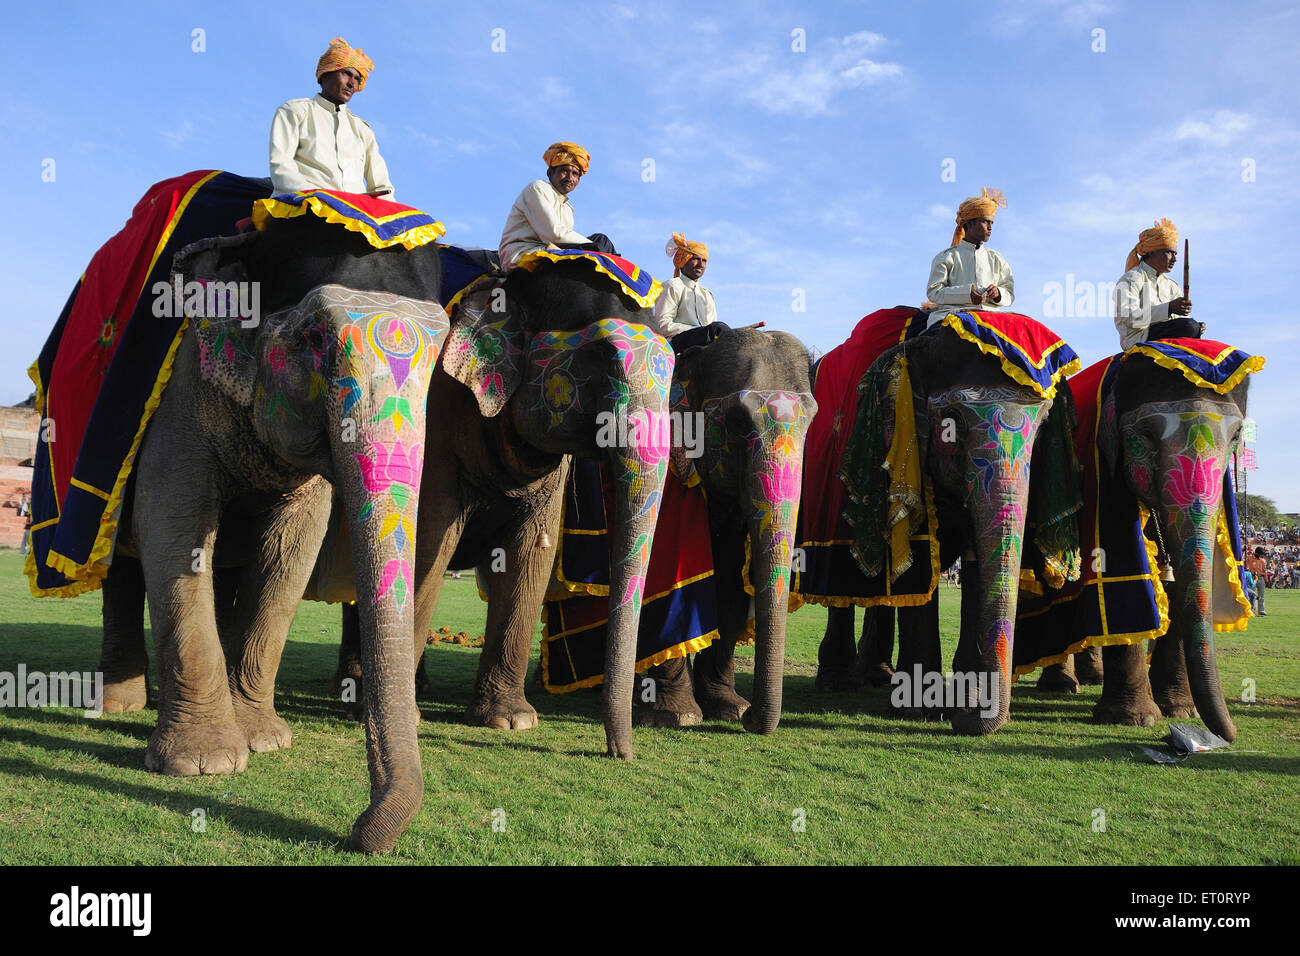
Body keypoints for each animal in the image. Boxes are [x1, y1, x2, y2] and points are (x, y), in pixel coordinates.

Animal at [806, 310, 1081, 738]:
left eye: (1043, 427)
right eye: (952, 423)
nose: (965, 719)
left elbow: (975, 566)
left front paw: (963, 701)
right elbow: (921, 563)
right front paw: (923, 709)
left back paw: (878, 676)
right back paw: (839, 681)